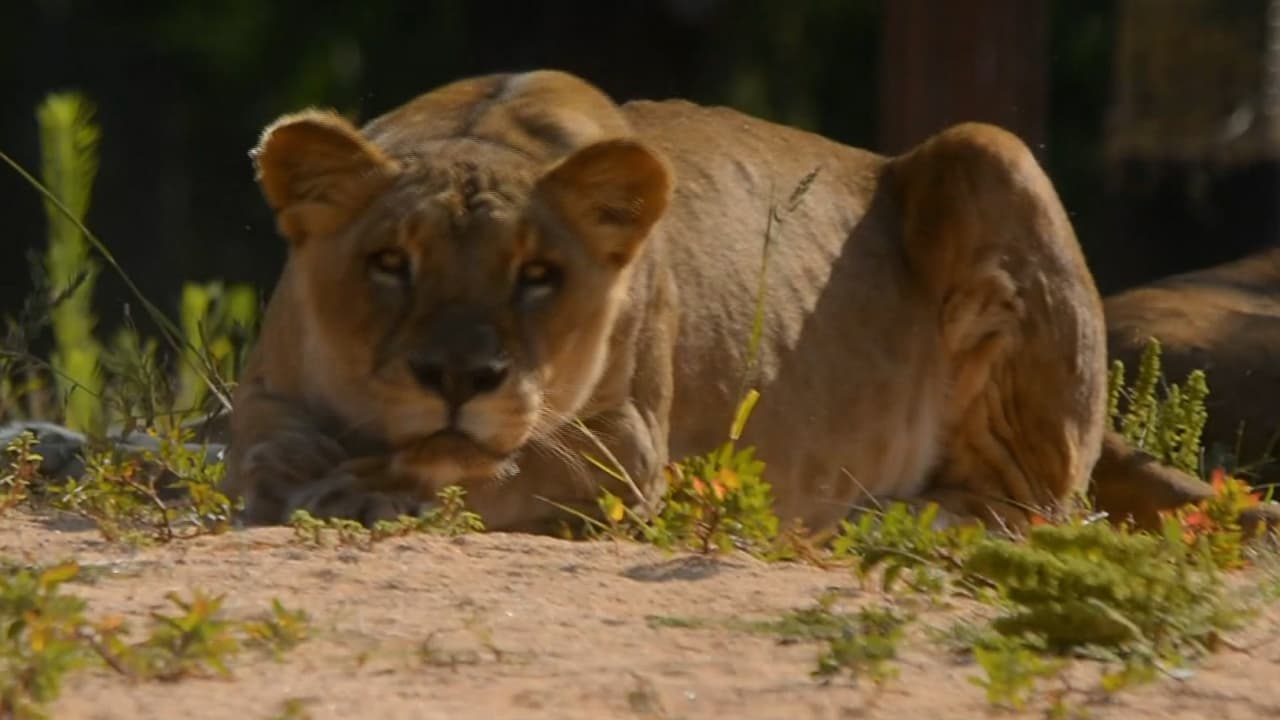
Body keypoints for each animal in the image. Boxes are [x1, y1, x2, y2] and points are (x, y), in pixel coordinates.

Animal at [222, 68, 1278, 536]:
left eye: (538, 276)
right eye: (390, 262)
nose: (458, 377)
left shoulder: (622, 447)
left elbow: (487, 467)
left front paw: (366, 487)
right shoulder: (265, 394)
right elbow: (263, 448)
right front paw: (301, 475)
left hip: (992, 151)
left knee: (1038, 505)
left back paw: (882, 517)